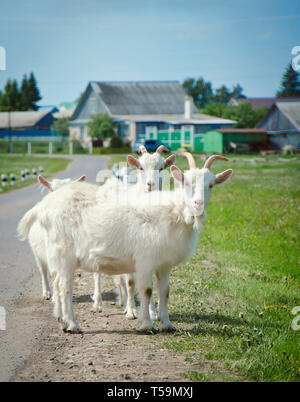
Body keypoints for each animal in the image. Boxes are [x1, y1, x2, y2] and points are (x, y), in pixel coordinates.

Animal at [18, 152, 232, 332]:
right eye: (185, 183)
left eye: (211, 185)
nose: (198, 204)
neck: (173, 212)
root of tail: (45, 205)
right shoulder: (145, 260)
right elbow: (146, 291)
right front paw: (146, 325)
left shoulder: (164, 264)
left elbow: (165, 292)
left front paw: (166, 324)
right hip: (63, 254)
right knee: (64, 287)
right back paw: (72, 324)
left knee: (59, 283)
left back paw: (62, 321)